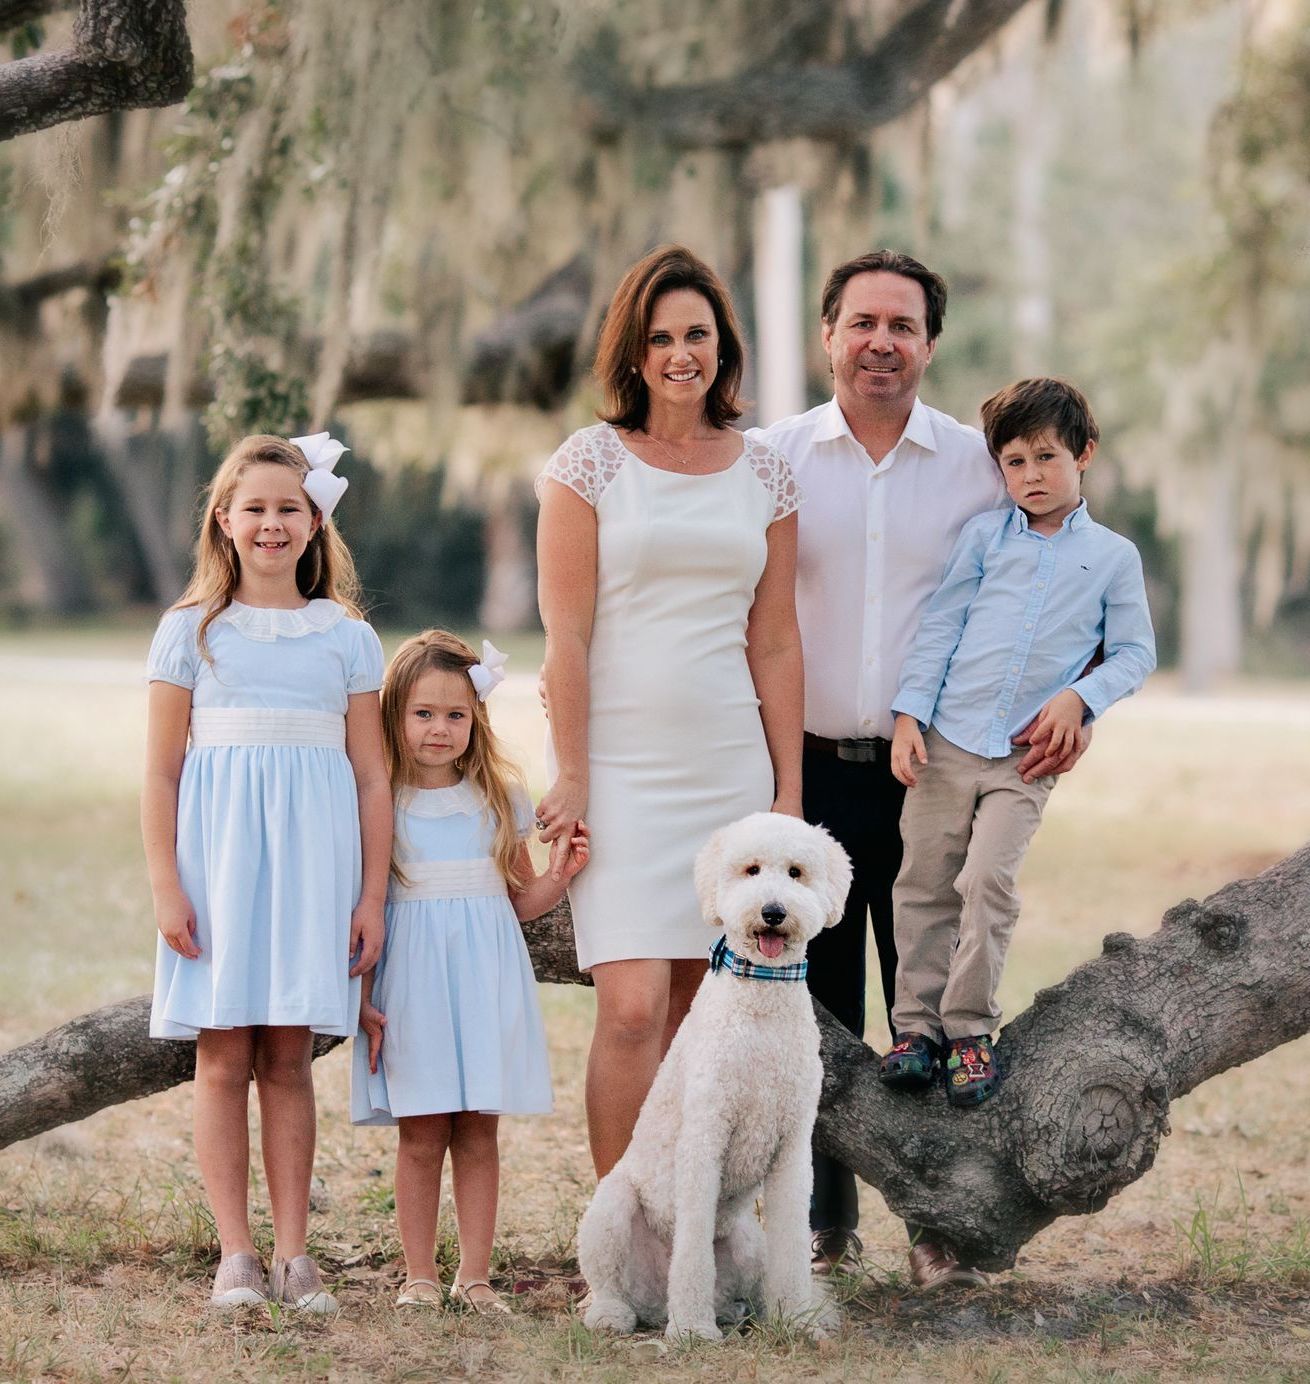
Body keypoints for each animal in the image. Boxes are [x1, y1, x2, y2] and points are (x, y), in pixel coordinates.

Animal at [578, 808, 857, 1339]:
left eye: (796, 872)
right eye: (750, 870)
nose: (773, 911)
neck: (761, 999)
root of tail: (653, 1300)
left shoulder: (793, 1148)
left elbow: (793, 1245)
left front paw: (796, 1320)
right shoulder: (704, 1137)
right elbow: (691, 1254)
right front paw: (692, 1331)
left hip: (747, 1241)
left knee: (740, 1283)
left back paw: (734, 1311)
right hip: (611, 1208)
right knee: (612, 1279)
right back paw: (613, 1313)